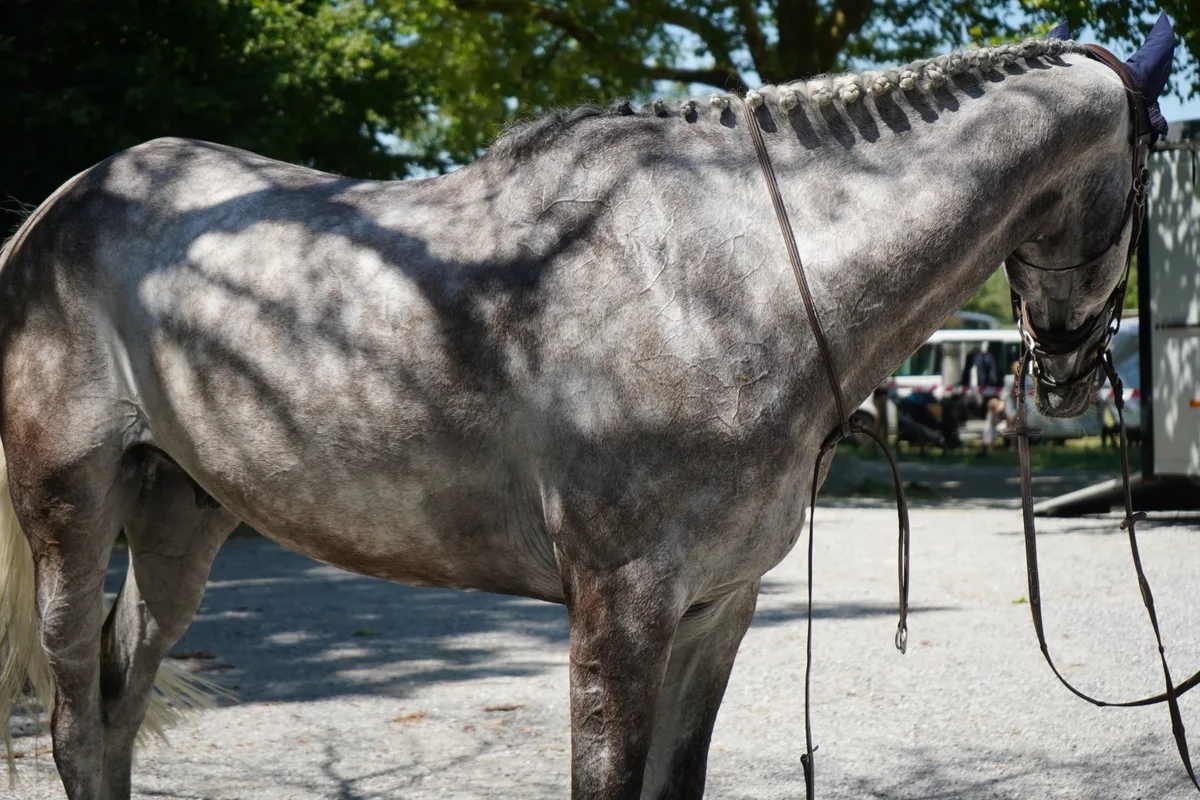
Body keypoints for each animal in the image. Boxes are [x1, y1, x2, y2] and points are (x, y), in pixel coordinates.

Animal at [0, 16, 1176, 799]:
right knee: (73, 717)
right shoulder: (622, 609)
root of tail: (50, 215)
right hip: (68, 509)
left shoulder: (718, 607)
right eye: (1152, 172)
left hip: (180, 512)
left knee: (119, 705)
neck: (728, 279)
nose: (1070, 374)